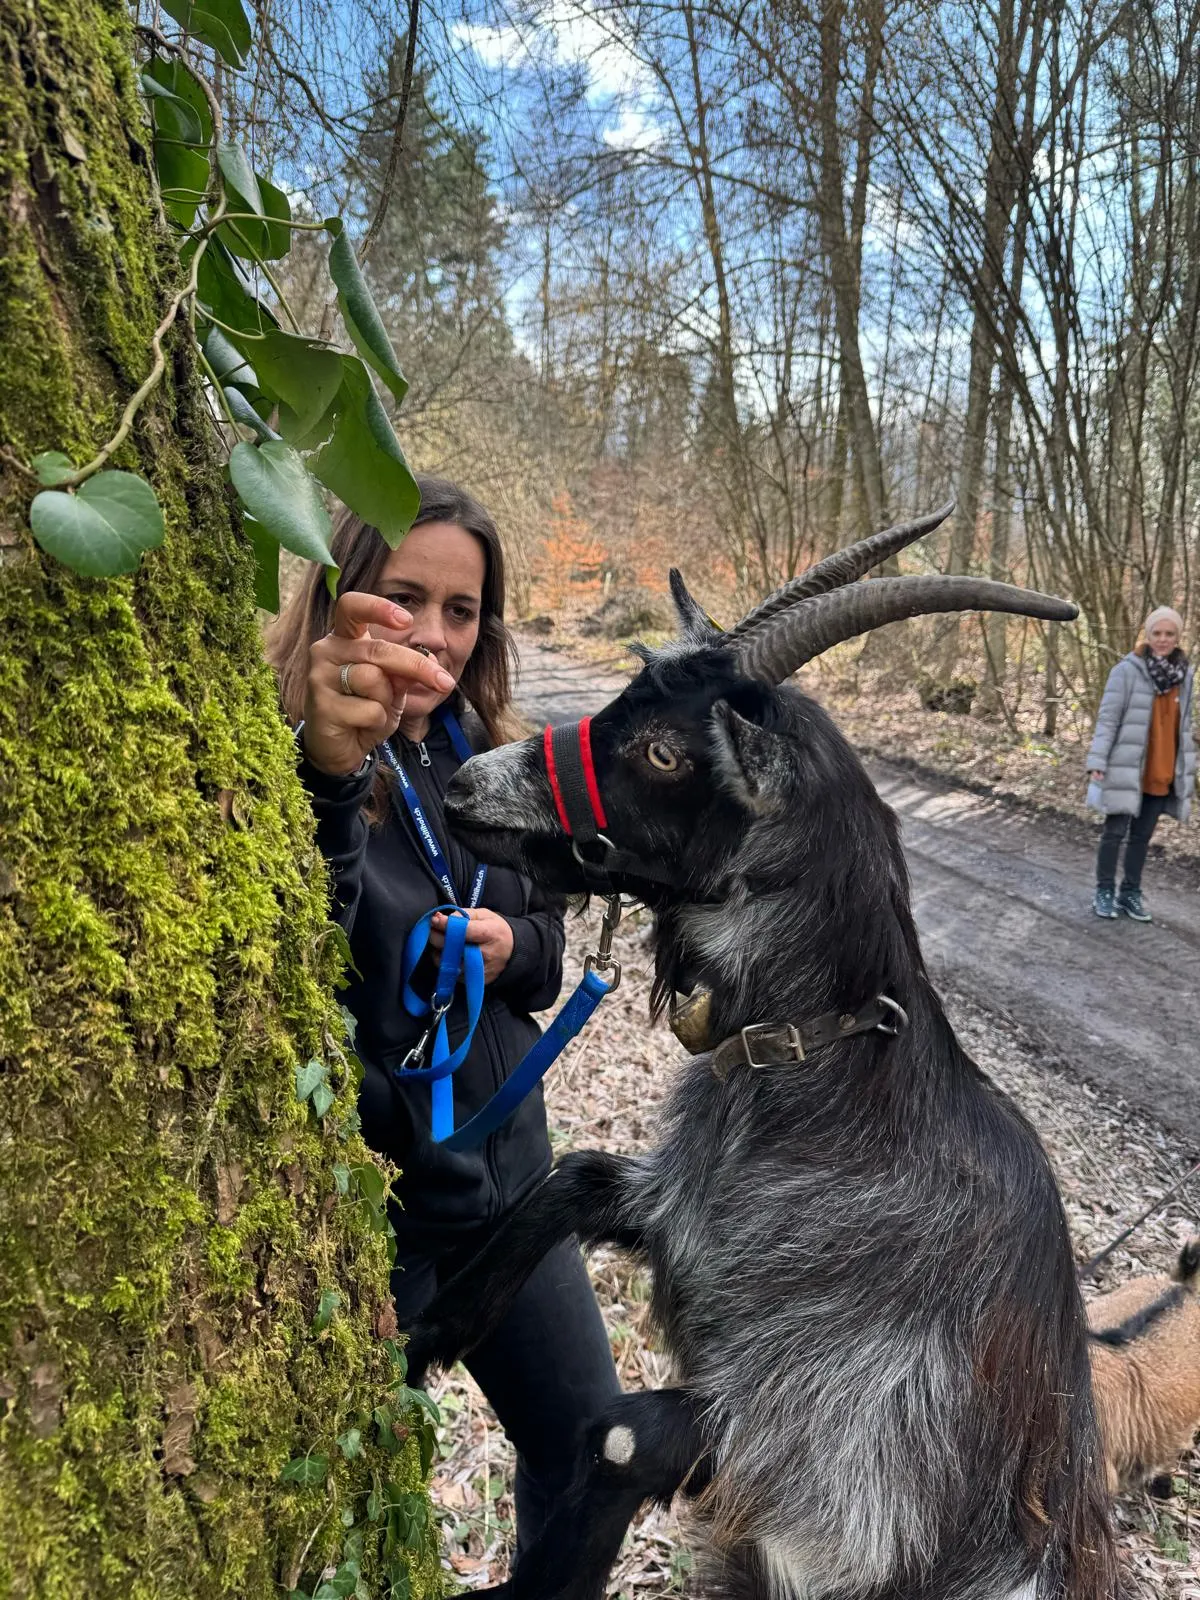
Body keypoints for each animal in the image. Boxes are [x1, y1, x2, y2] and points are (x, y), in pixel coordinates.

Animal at [409, 505, 1126, 1600]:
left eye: (666, 751)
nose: (462, 782)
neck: (830, 1078)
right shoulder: (682, 1219)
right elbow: (574, 1176)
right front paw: (434, 1327)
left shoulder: (833, 1492)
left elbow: (627, 1433)